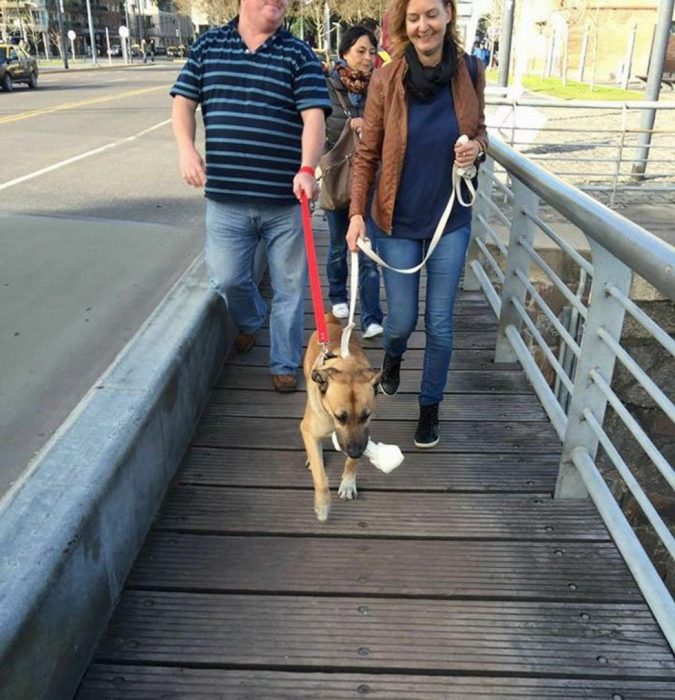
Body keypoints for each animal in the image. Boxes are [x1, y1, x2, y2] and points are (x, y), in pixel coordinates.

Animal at [302, 312, 380, 520]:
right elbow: (320, 477)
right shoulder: (308, 428)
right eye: (340, 417)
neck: (347, 366)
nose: (356, 452)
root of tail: (330, 320)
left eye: (366, 416)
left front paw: (348, 483)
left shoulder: (363, 434)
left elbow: (352, 463)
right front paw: (322, 505)